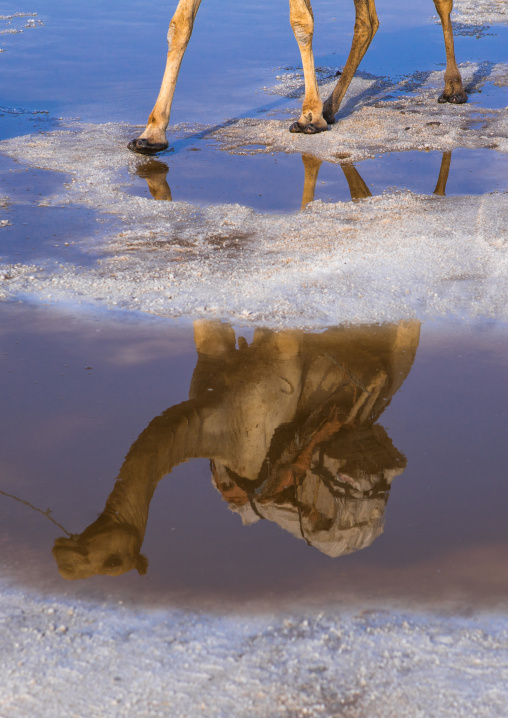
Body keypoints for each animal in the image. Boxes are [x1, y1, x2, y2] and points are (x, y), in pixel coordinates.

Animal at [128, 0, 467, 154]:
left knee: (442, 4)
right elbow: (179, 25)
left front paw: (309, 116)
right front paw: (152, 133)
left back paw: (453, 87)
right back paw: (331, 107)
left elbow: (301, 22)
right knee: (367, 21)